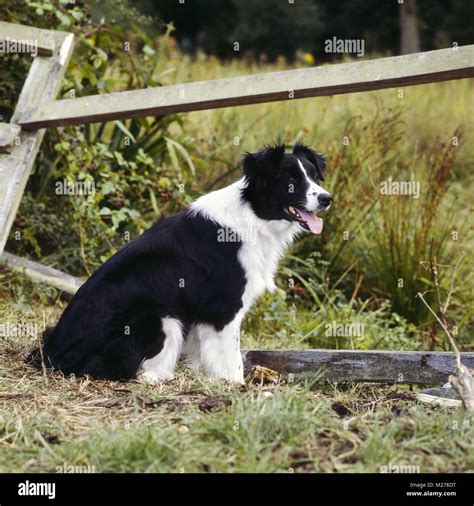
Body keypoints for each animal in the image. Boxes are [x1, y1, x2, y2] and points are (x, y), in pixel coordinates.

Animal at [28, 144, 334, 386]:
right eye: (291, 181)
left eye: (313, 176)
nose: (327, 198)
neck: (254, 214)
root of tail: (52, 352)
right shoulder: (223, 308)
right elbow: (232, 357)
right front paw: (236, 386)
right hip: (161, 318)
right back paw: (161, 376)